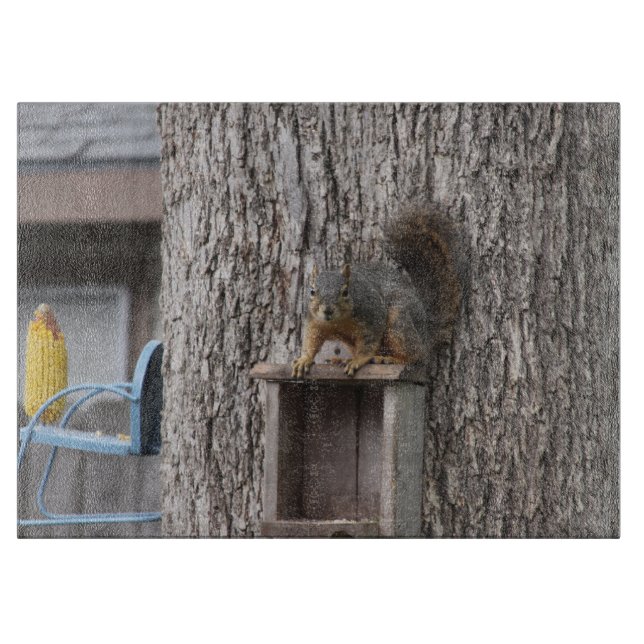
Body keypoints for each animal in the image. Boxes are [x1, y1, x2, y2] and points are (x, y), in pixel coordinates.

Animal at [291, 205, 463, 377]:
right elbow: (311, 340)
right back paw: (343, 359)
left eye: (345, 292)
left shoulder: (373, 315)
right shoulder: (315, 321)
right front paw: (304, 359)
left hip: (398, 321)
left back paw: (389, 359)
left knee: (417, 355)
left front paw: (358, 360)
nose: (327, 310)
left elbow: (369, 343)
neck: (338, 321)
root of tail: (426, 330)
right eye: (312, 291)